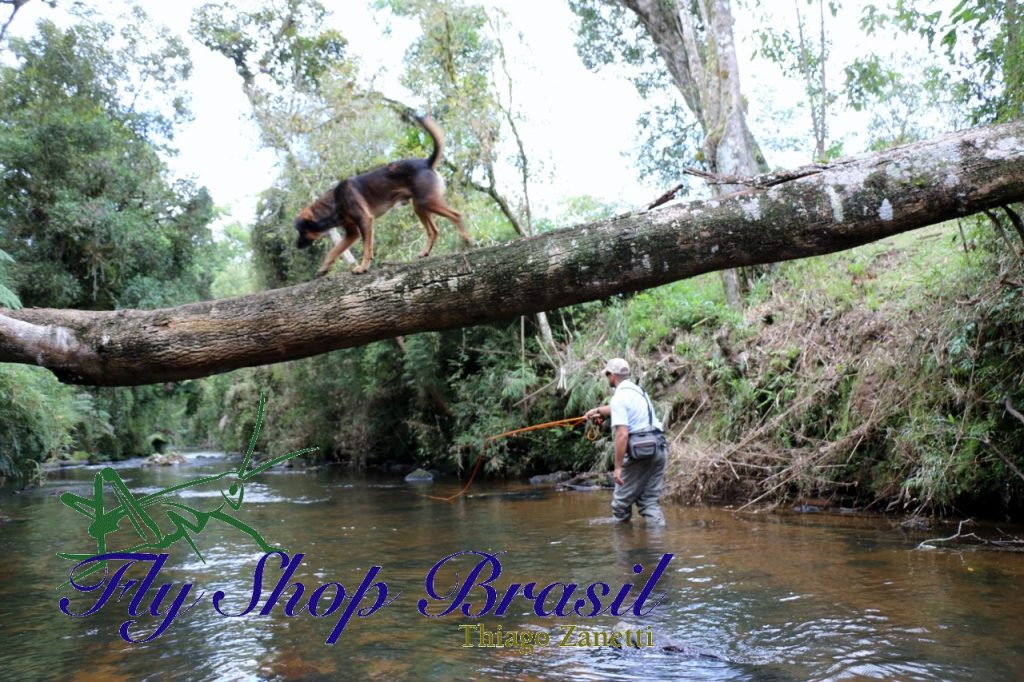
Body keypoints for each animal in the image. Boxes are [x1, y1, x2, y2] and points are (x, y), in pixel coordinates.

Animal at [292, 115, 471, 274]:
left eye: (302, 232)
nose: (296, 246)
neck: (335, 201)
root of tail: (427, 163)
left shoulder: (365, 221)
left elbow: (366, 249)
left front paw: (363, 267)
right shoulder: (352, 233)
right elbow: (334, 250)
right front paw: (325, 267)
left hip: (427, 202)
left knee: (456, 215)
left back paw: (467, 241)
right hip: (419, 206)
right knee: (434, 231)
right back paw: (424, 252)